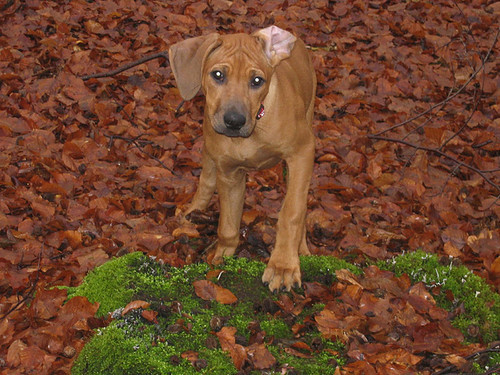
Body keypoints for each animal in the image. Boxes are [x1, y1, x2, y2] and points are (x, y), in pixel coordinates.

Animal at [169, 25, 316, 294]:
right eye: (217, 75)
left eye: (257, 81)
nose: (234, 121)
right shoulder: (229, 172)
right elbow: (227, 224)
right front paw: (222, 256)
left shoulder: (302, 151)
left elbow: (292, 211)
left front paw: (283, 266)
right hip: (209, 141)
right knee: (206, 177)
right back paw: (194, 210)